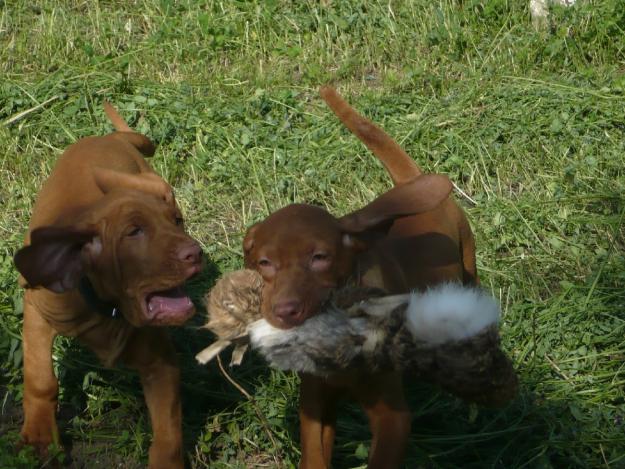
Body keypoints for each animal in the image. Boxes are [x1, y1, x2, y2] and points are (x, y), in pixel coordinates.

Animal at [13, 103, 201, 468]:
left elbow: (168, 434)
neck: (106, 307)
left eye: (177, 222)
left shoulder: (161, 364)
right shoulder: (37, 311)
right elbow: (41, 379)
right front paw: (41, 436)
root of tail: (107, 137)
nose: (195, 254)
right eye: (134, 233)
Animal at [241, 87, 476, 464]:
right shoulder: (315, 402)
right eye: (265, 263)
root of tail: (411, 181)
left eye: (319, 258)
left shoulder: (393, 417)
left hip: (469, 264)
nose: (284, 311)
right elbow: (313, 456)